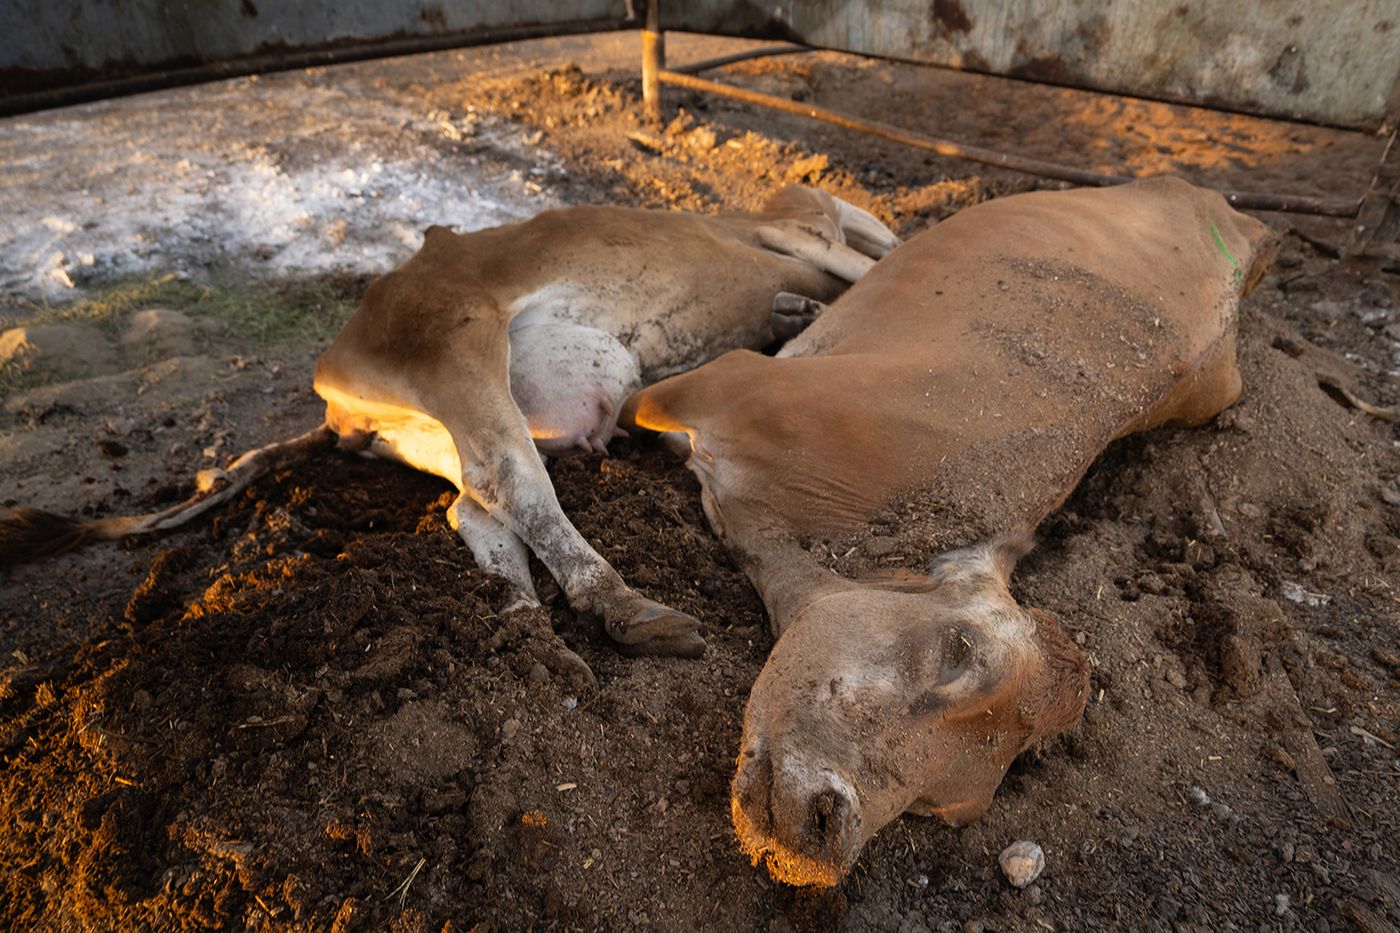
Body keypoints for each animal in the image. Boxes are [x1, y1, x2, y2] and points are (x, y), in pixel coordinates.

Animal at [1, 186, 900, 660]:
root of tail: (334, 390)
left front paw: (795, 312)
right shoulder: (799, 233)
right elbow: (870, 262)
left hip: (437, 425)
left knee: (476, 501)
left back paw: (528, 629)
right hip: (456, 343)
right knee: (513, 479)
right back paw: (625, 608)